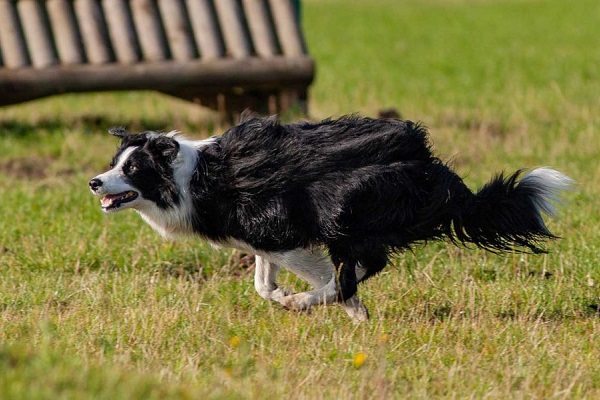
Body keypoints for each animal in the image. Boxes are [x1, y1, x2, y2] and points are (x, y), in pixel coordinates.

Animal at [88, 114, 572, 320]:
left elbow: (325, 277)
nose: (94, 182)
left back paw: (311, 302)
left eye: (133, 168)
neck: (190, 178)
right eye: (115, 162)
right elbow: (261, 281)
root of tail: (431, 164)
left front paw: (329, 307)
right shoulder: (261, 238)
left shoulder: (284, 231)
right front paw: (286, 295)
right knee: (364, 265)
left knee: (360, 266)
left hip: (343, 206)